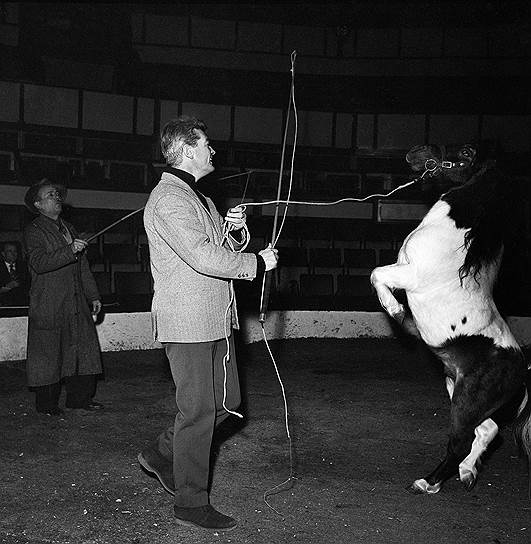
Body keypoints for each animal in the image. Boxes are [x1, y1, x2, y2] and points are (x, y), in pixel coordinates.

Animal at [372, 143, 528, 492]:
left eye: (466, 153)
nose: (415, 152)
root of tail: (521, 370)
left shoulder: (410, 274)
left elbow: (376, 274)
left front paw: (395, 311)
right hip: (458, 390)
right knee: (488, 431)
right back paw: (467, 473)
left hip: (465, 403)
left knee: (459, 442)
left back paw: (428, 483)